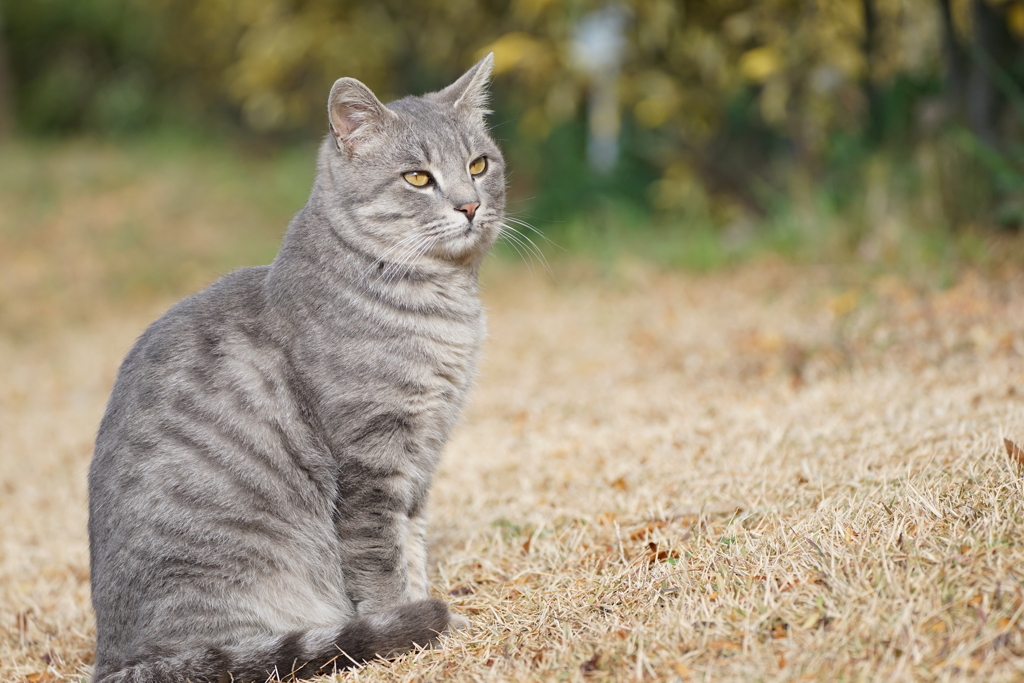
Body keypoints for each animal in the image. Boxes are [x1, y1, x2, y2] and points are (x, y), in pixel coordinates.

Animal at [88, 54, 503, 683]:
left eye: (478, 165)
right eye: (417, 178)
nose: (470, 205)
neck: (443, 306)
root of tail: (118, 662)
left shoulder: (422, 459)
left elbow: (412, 546)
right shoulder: (370, 463)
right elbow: (382, 563)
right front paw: (412, 629)